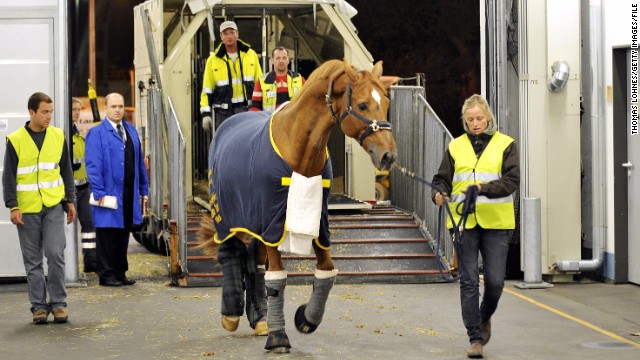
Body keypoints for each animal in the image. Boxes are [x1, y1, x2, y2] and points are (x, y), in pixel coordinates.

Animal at [199, 59, 396, 354]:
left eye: (385, 102)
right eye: (362, 105)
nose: (388, 156)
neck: (298, 149)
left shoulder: (317, 222)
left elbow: (326, 272)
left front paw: (306, 319)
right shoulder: (272, 222)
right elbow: (277, 278)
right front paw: (278, 337)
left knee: (253, 264)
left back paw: (260, 318)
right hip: (227, 216)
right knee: (230, 253)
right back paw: (231, 314)